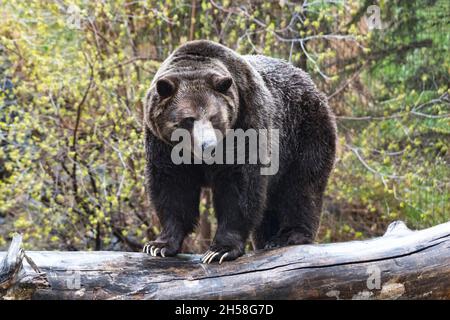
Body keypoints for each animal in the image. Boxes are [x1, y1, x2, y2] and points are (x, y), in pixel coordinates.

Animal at [142, 40, 336, 264]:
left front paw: (220, 249)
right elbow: (172, 187)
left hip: (304, 133)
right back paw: (267, 239)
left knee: (301, 186)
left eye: (214, 117)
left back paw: (288, 236)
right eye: (188, 119)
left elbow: (239, 186)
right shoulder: (163, 144)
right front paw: (159, 245)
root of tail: (310, 82)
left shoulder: (246, 119)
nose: (208, 145)